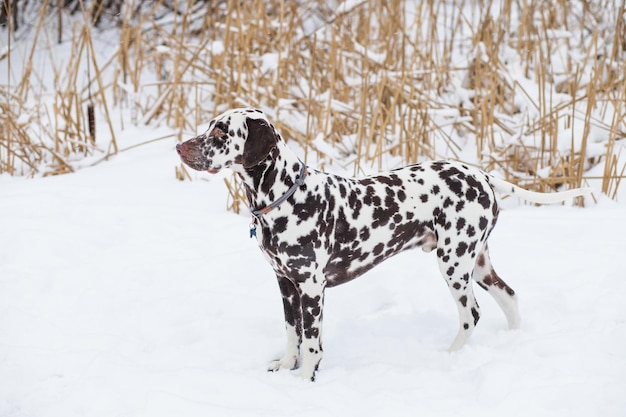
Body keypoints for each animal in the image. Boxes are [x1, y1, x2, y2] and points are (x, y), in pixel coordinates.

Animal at [176, 107, 588, 380]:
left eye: (220, 133)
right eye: (209, 127)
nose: (180, 147)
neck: (288, 196)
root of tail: (483, 175)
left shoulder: (311, 288)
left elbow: (311, 343)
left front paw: (304, 382)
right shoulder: (286, 284)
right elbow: (293, 334)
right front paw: (285, 367)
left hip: (454, 264)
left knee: (472, 314)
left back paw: (449, 358)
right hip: (479, 264)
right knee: (510, 297)